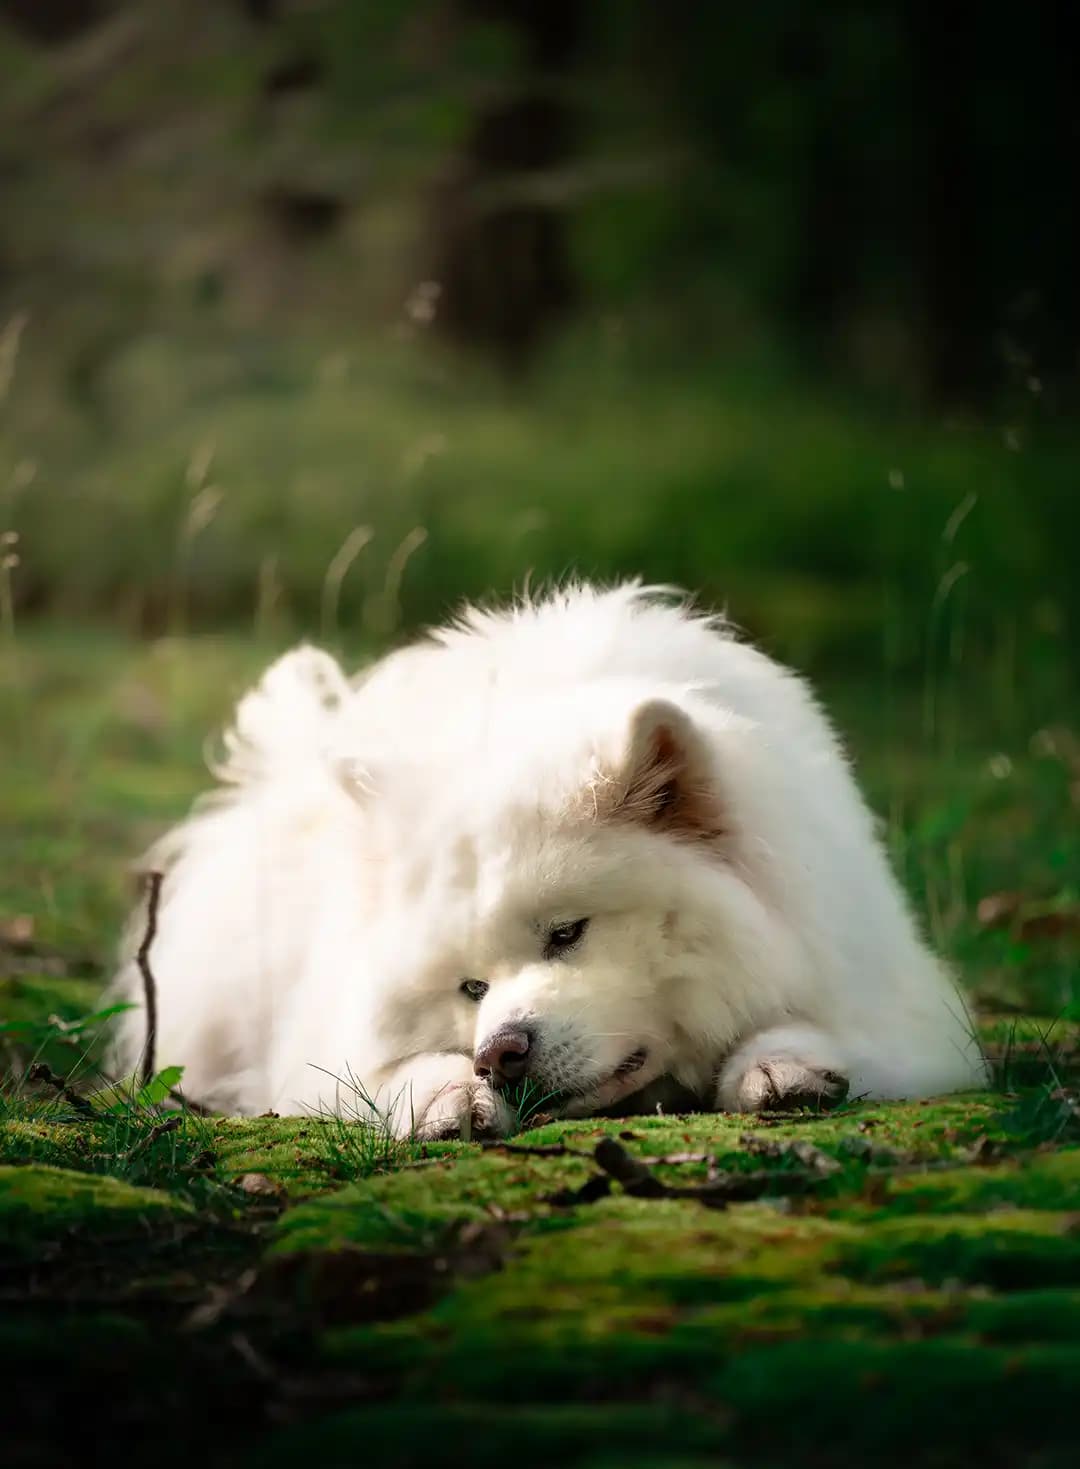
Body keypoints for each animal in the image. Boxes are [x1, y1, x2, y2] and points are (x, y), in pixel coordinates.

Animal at [111, 584, 987, 1134]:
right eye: (470, 987)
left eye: (567, 933)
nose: (500, 1054)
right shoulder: (325, 1047)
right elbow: (387, 1069)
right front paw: (447, 1095)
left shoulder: (888, 989)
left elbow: (822, 1022)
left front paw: (783, 1064)